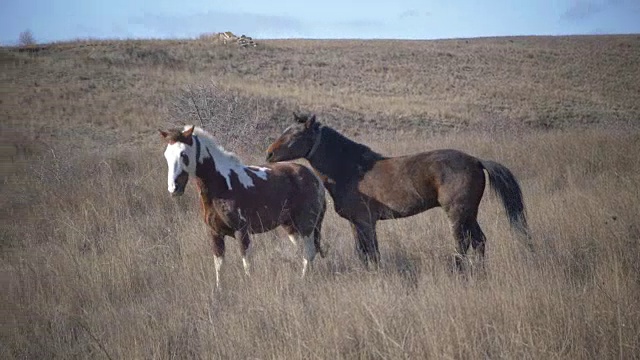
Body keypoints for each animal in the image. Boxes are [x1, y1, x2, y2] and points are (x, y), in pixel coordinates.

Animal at [160, 125, 324, 288]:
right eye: (166, 155)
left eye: (183, 154)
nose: (174, 188)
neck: (221, 183)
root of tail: (314, 177)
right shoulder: (215, 233)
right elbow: (219, 265)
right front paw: (220, 290)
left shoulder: (242, 231)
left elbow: (246, 263)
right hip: (290, 226)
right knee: (303, 251)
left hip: (306, 225)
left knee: (309, 252)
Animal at [264, 114, 528, 268]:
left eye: (296, 133)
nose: (269, 153)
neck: (350, 169)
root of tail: (475, 160)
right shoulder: (356, 223)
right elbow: (362, 254)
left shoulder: (367, 222)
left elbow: (372, 253)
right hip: (470, 214)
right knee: (479, 242)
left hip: (457, 214)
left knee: (462, 245)